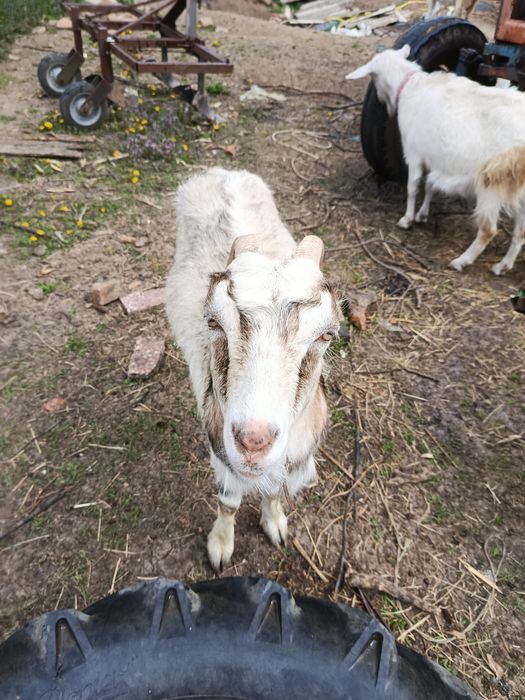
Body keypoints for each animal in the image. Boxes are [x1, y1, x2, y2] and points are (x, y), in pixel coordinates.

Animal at [166, 168, 342, 570]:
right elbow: (228, 502)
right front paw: (220, 545)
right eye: (214, 322)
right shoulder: (223, 457)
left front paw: (275, 523)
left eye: (326, 334)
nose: (253, 442)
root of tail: (222, 172)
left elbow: (274, 491)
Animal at [347, 46, 525, 275]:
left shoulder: (414, 154)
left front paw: (407, 219)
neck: (411, 85)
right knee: (520, 231)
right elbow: (430, 183)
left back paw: (462, 261)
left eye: (373, 77)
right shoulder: (436, 158)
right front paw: (423, 214)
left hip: (494, 180)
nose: (384, 104)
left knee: (488, 229)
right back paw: (503, 265)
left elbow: (413, 187)